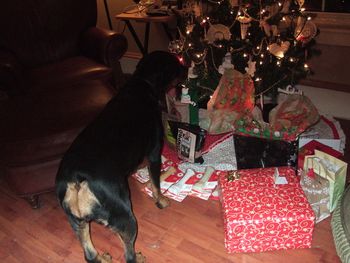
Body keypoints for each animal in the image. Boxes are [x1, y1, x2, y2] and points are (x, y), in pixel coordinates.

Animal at [55, 50, 186, 262]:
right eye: (176, 63)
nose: (186, 67)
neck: (143, 81)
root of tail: (77, 181)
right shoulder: (154, 153)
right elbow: (155, 183)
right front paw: (161, 200)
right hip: (125, 214)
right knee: (128, 254)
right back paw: (137, 256)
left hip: (78, 222)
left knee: (90, 254)